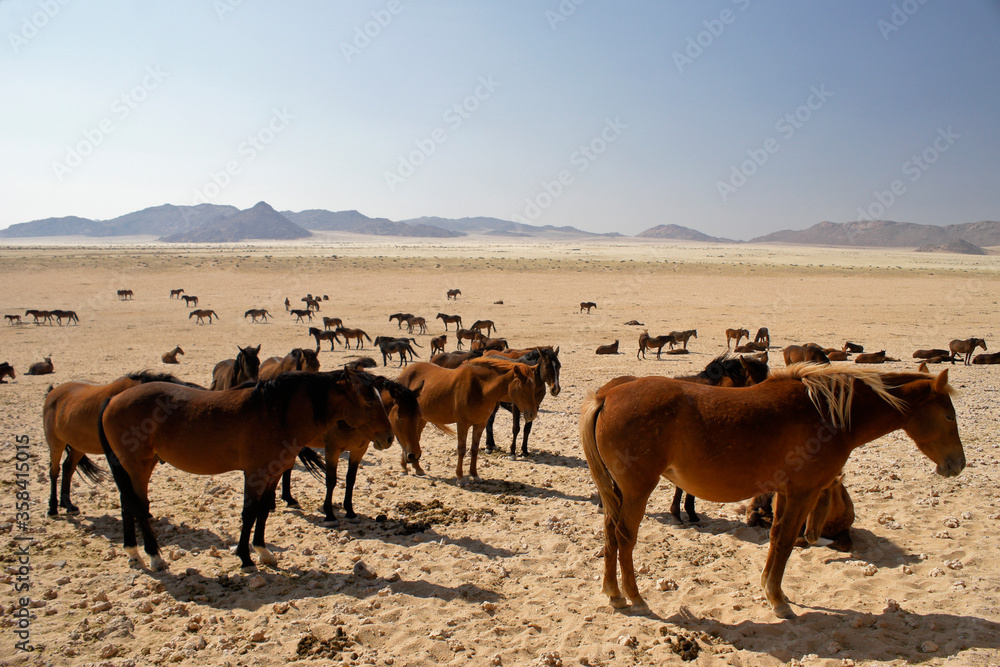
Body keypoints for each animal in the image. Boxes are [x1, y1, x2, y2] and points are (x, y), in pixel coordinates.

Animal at [42, 371, 204, 517]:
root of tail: (52, 392)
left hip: (78, 446)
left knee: (68, 468)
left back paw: (68, 504)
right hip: (56, 444)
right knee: (54, 471)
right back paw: (53, 508)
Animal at [97, 369, 394, 570]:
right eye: (369, 402)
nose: (389, 438)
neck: (276, 413)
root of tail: (113, 398)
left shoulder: (274, 472)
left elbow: (262, 510)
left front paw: (263, 551)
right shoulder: (254, 473)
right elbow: (249, 512)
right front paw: (245, 556)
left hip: (140, 465)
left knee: (127, 502)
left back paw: (133, 552)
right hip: (136, 464)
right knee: (136, 504)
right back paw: (154, 556)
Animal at [281, 377, 424, 524]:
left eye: (420, 417)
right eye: (400, 418)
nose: (414, 455)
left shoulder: (358, 450)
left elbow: (351, 479)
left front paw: (350, 511)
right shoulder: (332, 450)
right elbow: (331, 481)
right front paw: (330, 515)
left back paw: (290, 499)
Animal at [397, 357, 541, 480]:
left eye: (534, 386)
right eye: (522, 387)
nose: (532, 415)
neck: (479, 388)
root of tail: (405, 371)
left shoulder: (480, 424)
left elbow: (474, 449)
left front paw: (474, 474)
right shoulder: (462, 424)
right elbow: (462, 449)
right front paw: (460, 477)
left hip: (421, 419)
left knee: (414, 438)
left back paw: (417, 467)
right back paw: (404, 468)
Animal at [580, 365, 964, 617]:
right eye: (949, 417)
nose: (958, 464)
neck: (826, 414)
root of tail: (608, 394)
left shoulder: (784, 493)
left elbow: (781, 537)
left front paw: (771, 588)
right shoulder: (802, 492)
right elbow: (785, 542)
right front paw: (778, 599)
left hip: (619, 491)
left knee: (610, 534)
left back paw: (613, 593)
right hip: (638, 489)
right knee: (625, 537)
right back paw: (634, 596)